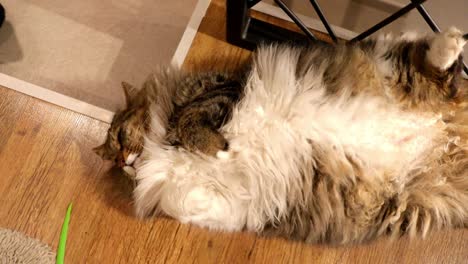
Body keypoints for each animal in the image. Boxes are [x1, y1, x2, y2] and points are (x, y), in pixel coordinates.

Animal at [97, 27, 466, 244]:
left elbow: (193, 122)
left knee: (436, 69)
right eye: (113, 158)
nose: (123, 160)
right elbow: (188, 201)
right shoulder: (229, 199)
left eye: (120, 136)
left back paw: (450, 41)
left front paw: (219, 149)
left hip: (391, 64)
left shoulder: (220, 91)